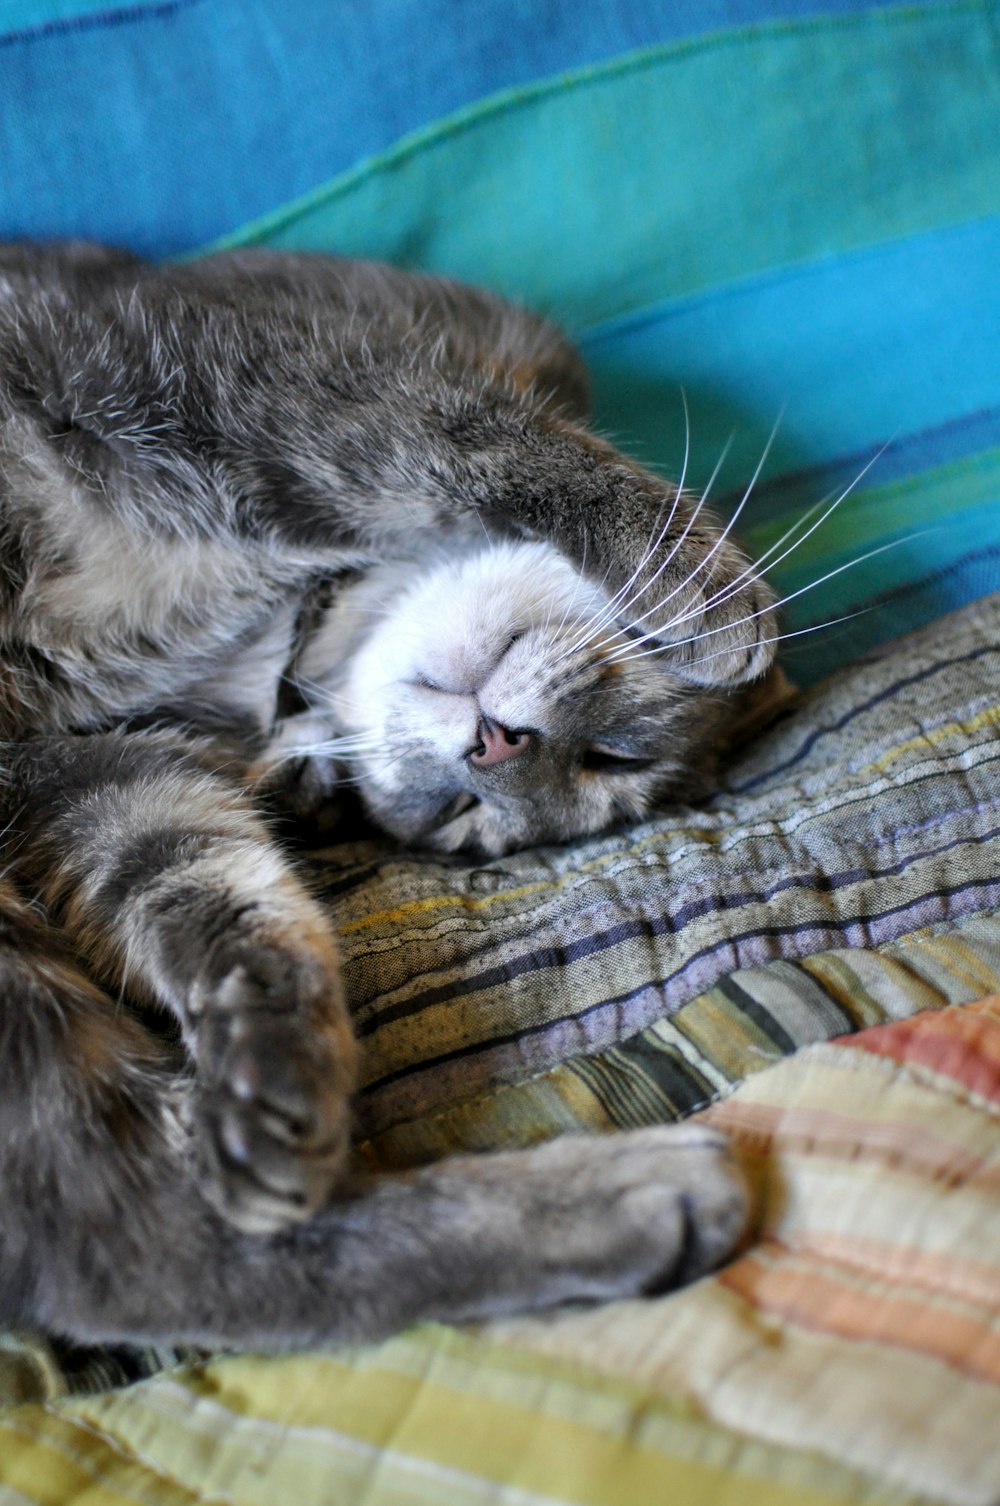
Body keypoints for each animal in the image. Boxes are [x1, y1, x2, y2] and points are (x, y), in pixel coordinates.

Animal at [0, 240, 771, 1349]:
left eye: (469, 818)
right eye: (619, 756)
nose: (494, 755)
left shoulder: (95, 777)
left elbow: (227, 894)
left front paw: (274, 1055)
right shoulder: (219, 364)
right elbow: (461, 434)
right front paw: (693, 574)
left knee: (145, 1247)